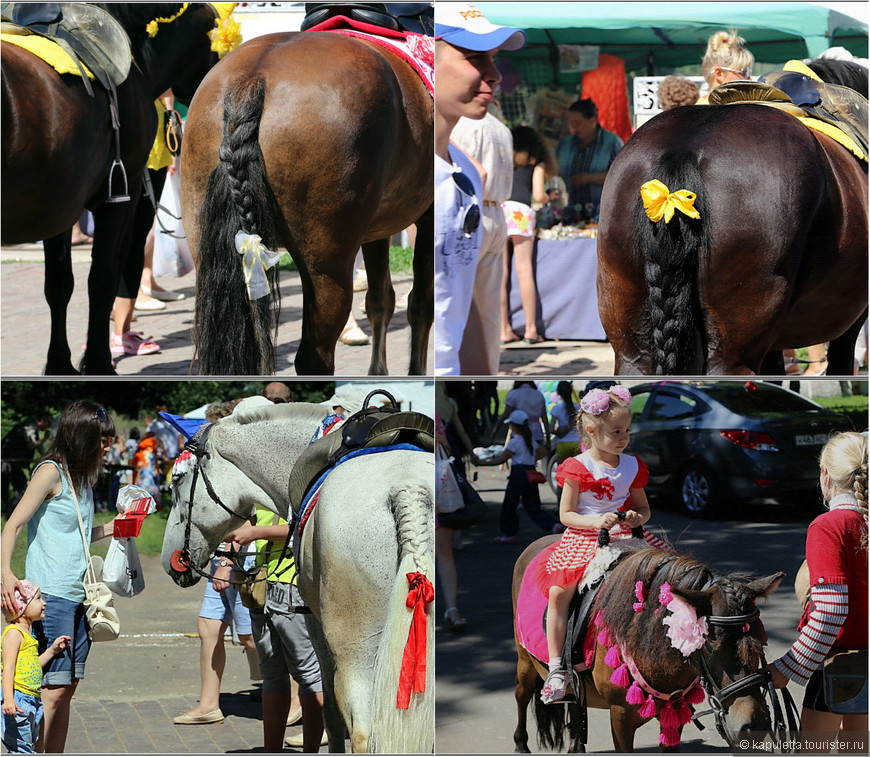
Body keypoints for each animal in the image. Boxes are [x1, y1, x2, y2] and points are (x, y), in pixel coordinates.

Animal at [1, 3, 220, 376]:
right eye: (217, 35)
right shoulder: (118, 198)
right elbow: (103, 279)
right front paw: (100, 362)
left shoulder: (59, 206)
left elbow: (59, 284)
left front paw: (60, 364)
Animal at [160, 398, 436, 752]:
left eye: (178, 480)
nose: (171, 559)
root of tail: (408, 488)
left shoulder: (316, 627)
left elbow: (330, 713)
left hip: (356, 650)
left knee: (361, 730)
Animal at [180, 17, 432, 376]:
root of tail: (252, 79)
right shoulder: (430, 215)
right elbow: (420, 304)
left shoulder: (378, 228)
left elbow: (380, 300)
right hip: (327, 268)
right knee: (314, 356)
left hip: (206, 254)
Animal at [516, 536, 788, 752]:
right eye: (712, 648)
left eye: (762, 645)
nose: (754, 725)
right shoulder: (620, 716)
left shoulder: (675, 711)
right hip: (524, 660)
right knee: (521, 694)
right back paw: (521, 743)